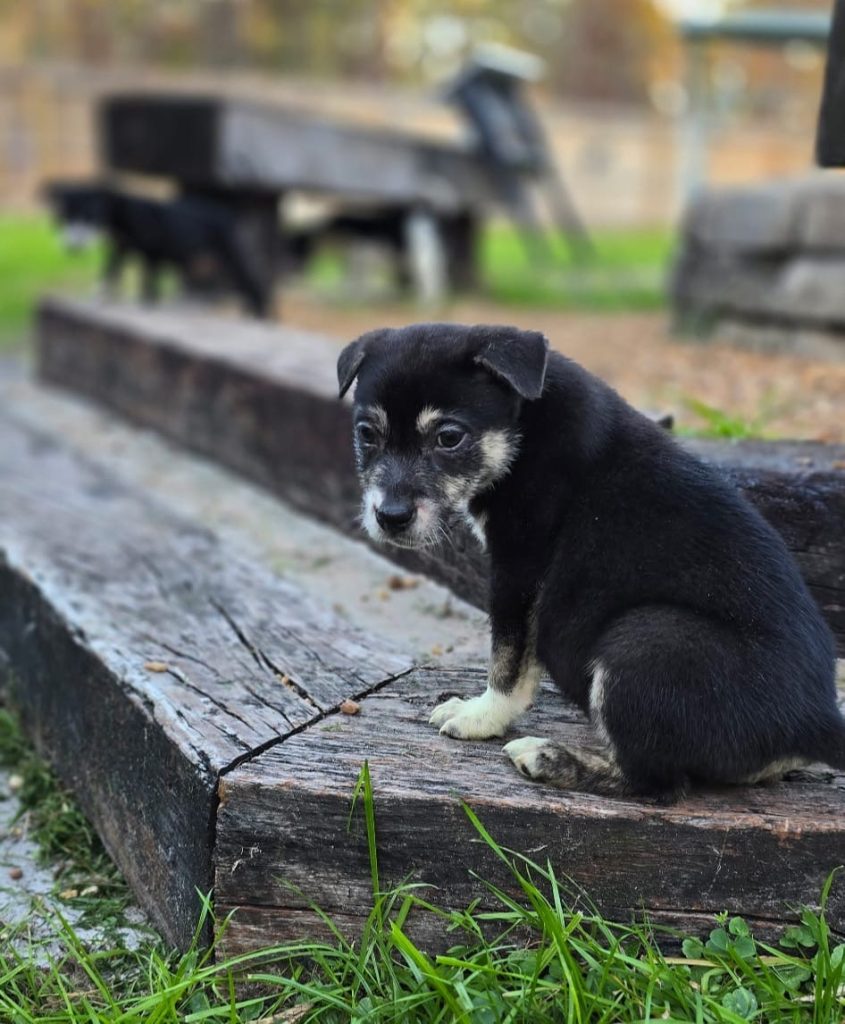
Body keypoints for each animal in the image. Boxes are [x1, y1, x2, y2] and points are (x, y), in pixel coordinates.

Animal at [44, 182, 271, 316]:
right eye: (64, 219)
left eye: (89, 216)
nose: (72, 247)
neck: (124, 213)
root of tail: (227, 214)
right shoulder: (121, 248)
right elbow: (111, 271)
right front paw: (101, 295)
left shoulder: (153, 252)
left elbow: (147, 278)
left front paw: (147, 303)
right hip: (207, 261)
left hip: (231, 255)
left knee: (252, 285)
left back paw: (258, 314)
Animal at [337, 323, 843, 801]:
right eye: (366, 434)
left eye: (449, 437)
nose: (390, 517)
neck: (527, 424)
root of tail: (815, 724)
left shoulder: (521, 565)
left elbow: (509, 660)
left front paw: (482, 715)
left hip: (647, 641)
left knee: (656, 785)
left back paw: (547, 758)